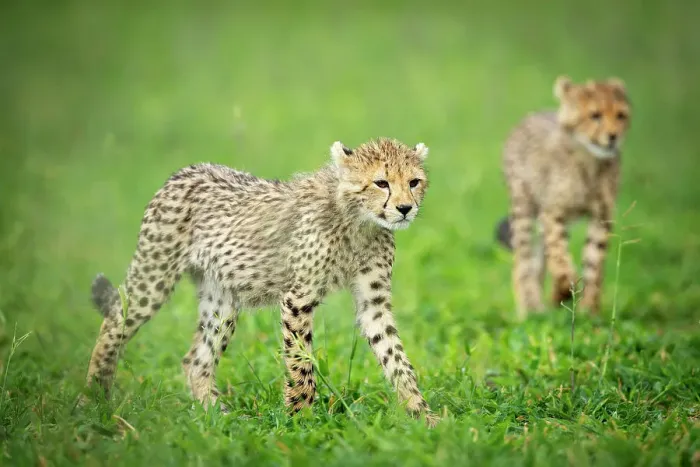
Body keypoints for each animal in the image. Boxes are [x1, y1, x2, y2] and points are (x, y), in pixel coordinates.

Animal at [83, 137, 439, 426]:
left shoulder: (372, 303)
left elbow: (395, 356)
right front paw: (300, 420)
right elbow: (301, 365)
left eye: (414, 182)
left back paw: (219, 417)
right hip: (154, 274)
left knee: (196, 360)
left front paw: (421, 414)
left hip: (221, 301)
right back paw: (94, 399)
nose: (405, 208)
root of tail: (187, 170)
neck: (359, 220)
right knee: (114, 321)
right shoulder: (298, 298)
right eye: (381, 182)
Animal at [495, 75, 631, 318]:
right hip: (523, 209)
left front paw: (589, 311)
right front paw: (565, 290)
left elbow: (594, 265)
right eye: (595, 115)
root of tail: (531, 116)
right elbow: (559, 257)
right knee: (524, 260)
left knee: (539, 260)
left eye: (621, 115)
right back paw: (529, 309)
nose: (613, 137)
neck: (590, 161)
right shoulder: (553, 213)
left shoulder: (601, 216)